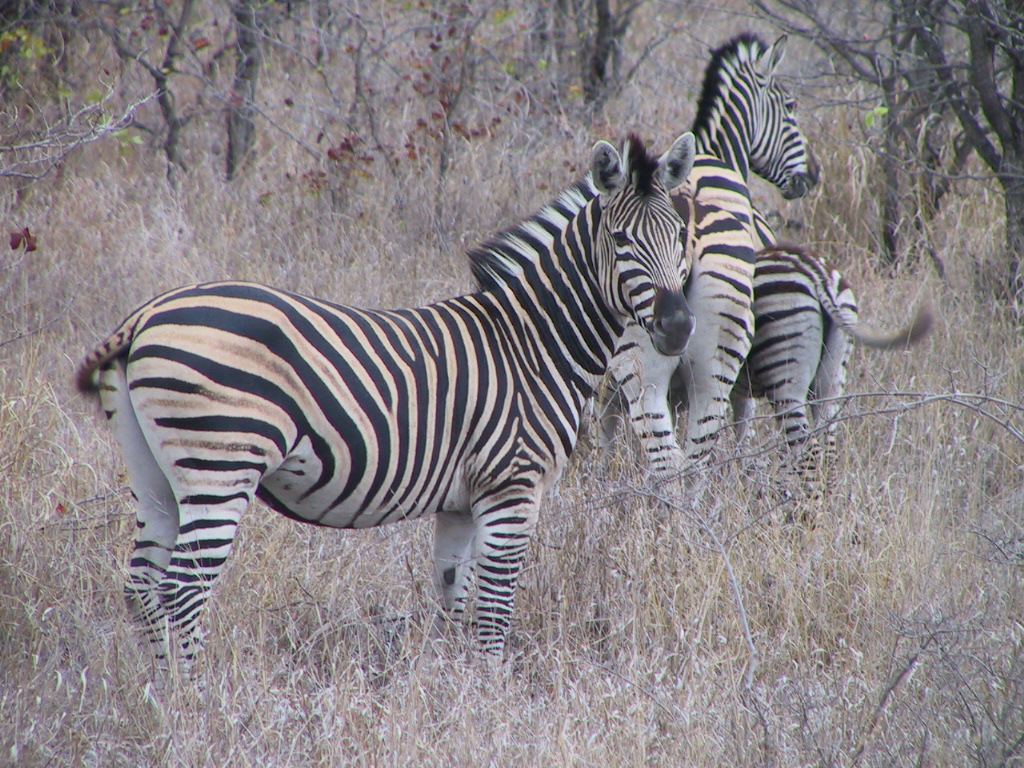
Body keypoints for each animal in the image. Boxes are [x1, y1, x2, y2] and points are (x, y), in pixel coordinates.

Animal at [77, 134, 696, 671]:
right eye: (621, 242)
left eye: (682, 239)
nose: (678, 328)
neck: (533, 343)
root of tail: (147, 313)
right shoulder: (513, 485)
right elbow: (494, 613)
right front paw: (493, 695)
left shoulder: (460, 502)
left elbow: (455, 603)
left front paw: (456, 693)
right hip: (219, 465)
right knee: (183, 591)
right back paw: (195, 701)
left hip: (155, 474)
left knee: (141, 585)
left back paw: (160, 695)